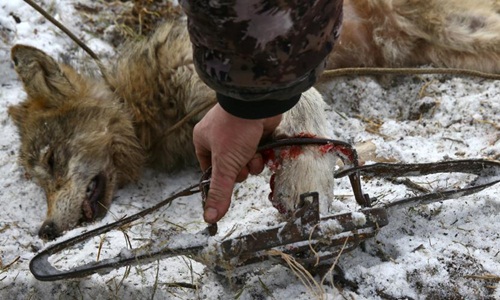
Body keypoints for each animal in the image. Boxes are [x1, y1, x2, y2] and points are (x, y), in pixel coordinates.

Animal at [8, 0, 500, 239]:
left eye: (51, 161)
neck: (147, 106)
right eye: (36, 179)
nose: (44, 231)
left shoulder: (238, 80)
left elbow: (305, 113)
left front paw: (307, 182)